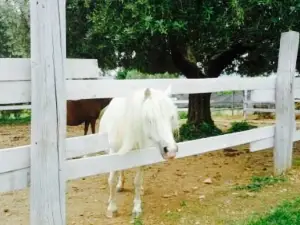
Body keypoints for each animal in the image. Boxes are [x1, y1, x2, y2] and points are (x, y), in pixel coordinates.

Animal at [98, 85, 179, 220]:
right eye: (150, 119)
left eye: (171, 117)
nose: (171, 151)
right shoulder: (114, 154)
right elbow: (112, 180)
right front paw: (112, 208)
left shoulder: (140, 158)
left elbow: (137, 181)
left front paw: (136, 208)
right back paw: (119, 187)